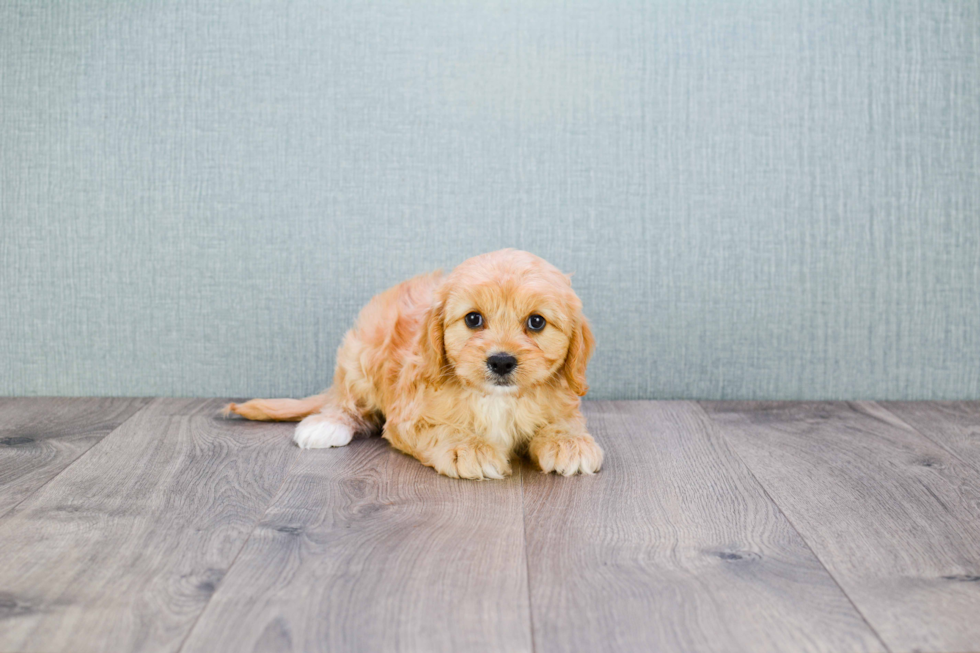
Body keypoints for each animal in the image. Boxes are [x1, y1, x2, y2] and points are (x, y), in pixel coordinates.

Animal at [226, 250, 600, 478]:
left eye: (536, 322)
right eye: (473, 319)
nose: (501, 361)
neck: (497, 399)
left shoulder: (563, 401)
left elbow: (564, 421)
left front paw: (568, 443)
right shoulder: (409, 416)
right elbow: (442, 429)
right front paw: (468, 449)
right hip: (359, 356)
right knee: (348, 403)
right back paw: (327, 424)